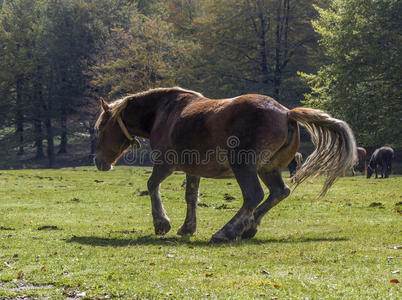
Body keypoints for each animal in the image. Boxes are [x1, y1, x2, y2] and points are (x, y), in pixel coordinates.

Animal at [93, 86, 354, 241]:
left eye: (102, 126)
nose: (98, 161)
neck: (163, 113)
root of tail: (286, 114)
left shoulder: (165, 165)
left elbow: (151, 185)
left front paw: (161, 223)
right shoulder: (192, 170)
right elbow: (191, 197)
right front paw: (187, 228)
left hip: (244, 167)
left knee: (254, 195)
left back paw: (227, 231)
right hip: (268, 169)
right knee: (279, 193)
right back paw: (249, 226)